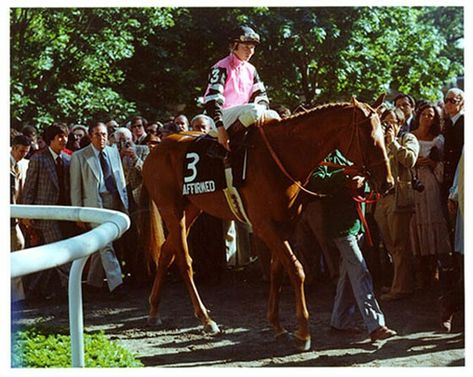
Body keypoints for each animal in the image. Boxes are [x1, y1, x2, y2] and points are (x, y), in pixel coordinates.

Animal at [142, 96, 392, 350]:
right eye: (368, 138)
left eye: (384, 133)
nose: (388, 183)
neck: (284, 155)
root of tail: (155, 149)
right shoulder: (264, 226)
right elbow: (296, 270)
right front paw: (303, 334)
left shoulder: (285, 224)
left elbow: (277, 270)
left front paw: (278, 326)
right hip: (171, 209)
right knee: (184, 260)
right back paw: (205, 318)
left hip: (192, 208)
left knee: (166, 252)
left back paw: (153, 310)